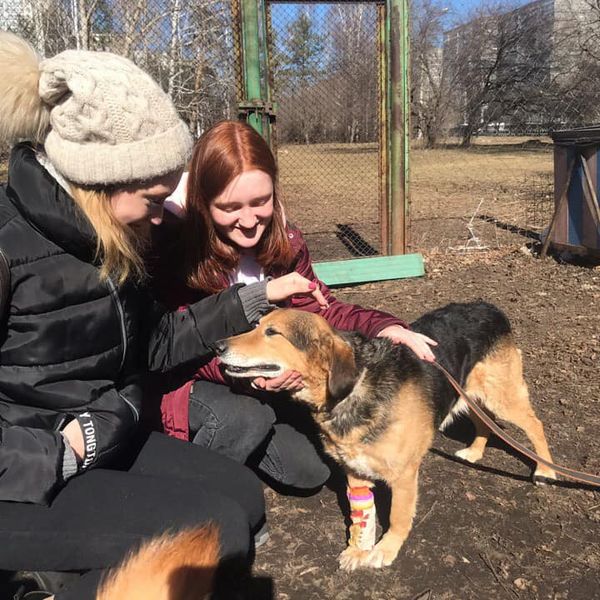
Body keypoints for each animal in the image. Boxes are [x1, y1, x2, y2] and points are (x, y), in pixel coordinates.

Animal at [217, 302, 556, 568]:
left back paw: (546, 469)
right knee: (484, 423)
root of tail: (488, 306)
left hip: (502, 396)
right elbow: (361, 515)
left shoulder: (404, 475)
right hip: (467, 393)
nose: (218, 346)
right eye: (256, 326)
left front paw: (386, 549)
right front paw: (359, 548)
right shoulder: (354, 470)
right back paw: (475, 451)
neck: (354, 389)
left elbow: (397, 517)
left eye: (272, 333)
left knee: (535, 424)